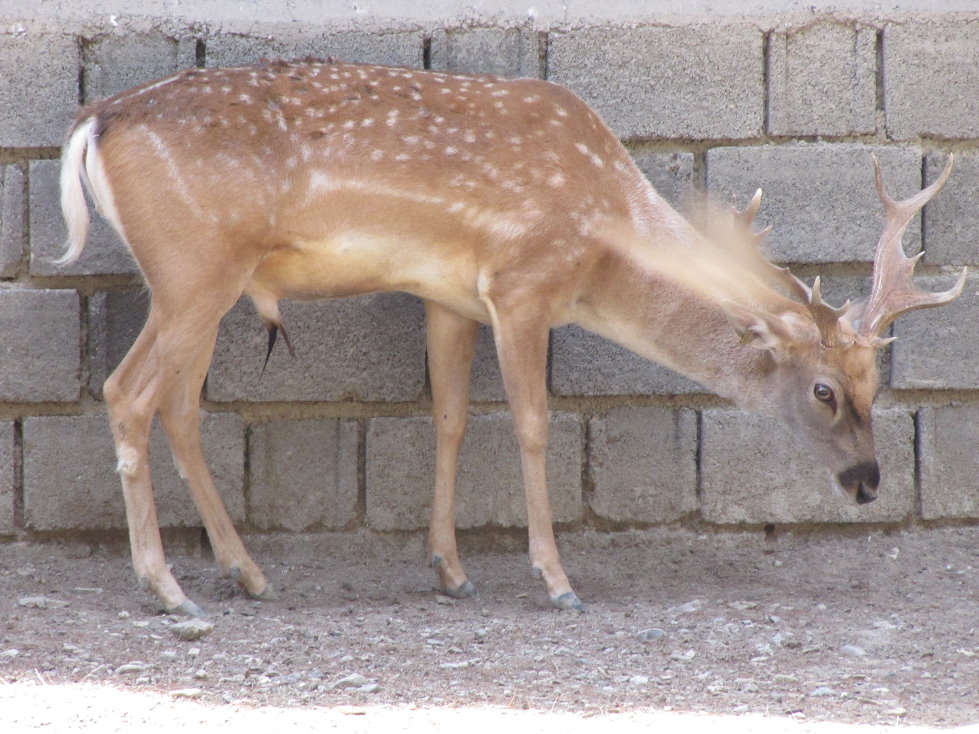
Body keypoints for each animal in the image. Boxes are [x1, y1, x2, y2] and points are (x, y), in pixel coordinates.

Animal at [59, 58, 965, 616]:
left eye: (877, 385)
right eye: (824, 390)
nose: (867, 482)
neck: (600, 240)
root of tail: (92, 121)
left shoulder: (449, 296)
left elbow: (451, 418)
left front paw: (450, 571)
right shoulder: (521, 285)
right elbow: (530, 425)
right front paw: (556, 580)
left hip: (205, 285)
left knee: (178, 406)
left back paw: (246, 573)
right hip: (192, 268)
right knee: (126, 392)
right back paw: (168, 589)